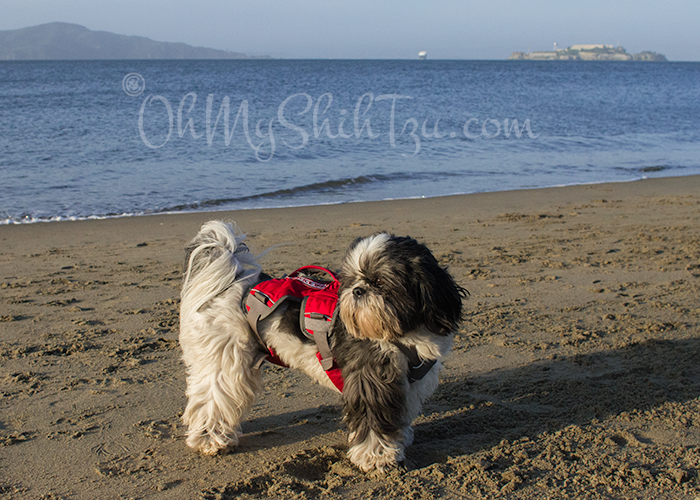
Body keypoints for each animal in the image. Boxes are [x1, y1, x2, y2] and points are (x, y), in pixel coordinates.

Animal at [180, 221, 464, 470]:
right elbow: (373, 420)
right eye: (353, 280)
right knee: (212, 398)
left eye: (380, 283)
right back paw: (209, 438)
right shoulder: (370, 379)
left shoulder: (409, 383)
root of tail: (232, 284)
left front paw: (399, 440)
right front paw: (377, 457)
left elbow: (398, 415)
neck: (401, 333)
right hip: (225, 360)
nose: (357, 291)